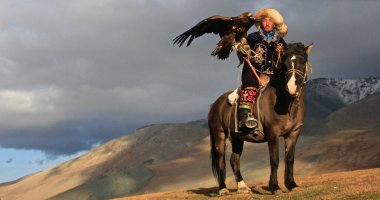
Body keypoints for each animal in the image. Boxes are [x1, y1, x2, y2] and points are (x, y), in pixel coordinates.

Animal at [208, 43, 312, 195]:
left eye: (303, 62)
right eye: (285, 64)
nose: (292, 88)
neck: (285, 103)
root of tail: (214, 104)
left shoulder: (293, 134)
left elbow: (290, 159)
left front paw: (291, 184)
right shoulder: (273, 134)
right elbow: (274, 159)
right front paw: (275, 187)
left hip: (237, 138)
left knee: (234, 160)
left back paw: (243, 187)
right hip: (219, 136)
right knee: (221, 160)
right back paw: (223, 189)